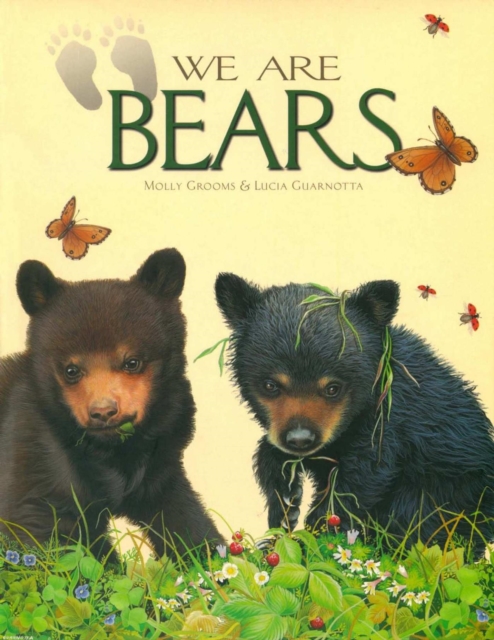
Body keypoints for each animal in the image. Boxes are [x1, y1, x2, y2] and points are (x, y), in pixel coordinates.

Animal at [0, 249, 222, 559]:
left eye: (132, 362)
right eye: (71, 370)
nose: (103, 412)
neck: (110, 449)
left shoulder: (160, 462)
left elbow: (182, 516)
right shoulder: (34, 451)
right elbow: (43, 530)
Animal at [215, 275, 494, 551]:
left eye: (333, 388)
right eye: (271, 385)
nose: (300, 439)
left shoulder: (388, 422)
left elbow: (362, 479)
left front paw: (310, 536)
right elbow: (274, 453)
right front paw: (286, 502)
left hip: (452, 491)